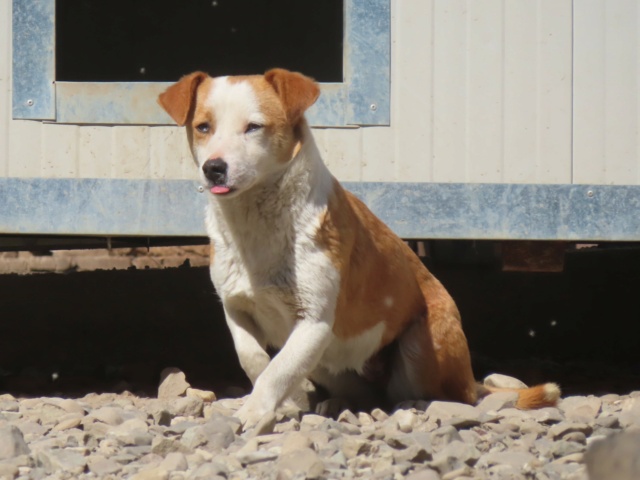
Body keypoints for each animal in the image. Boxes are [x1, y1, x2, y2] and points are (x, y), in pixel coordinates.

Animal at [156, 68, 560, 432]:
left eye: (253, 127)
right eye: (203, 127)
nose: (214, 168)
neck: (256, 228)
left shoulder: (315, 321)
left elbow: (278, 369)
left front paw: (256, 411)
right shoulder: (235, 307)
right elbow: (255, 359)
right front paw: (278, 403)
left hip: (421, 345)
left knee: (447, 396)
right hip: (330, 365)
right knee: (365, 393)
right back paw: (336, 402)